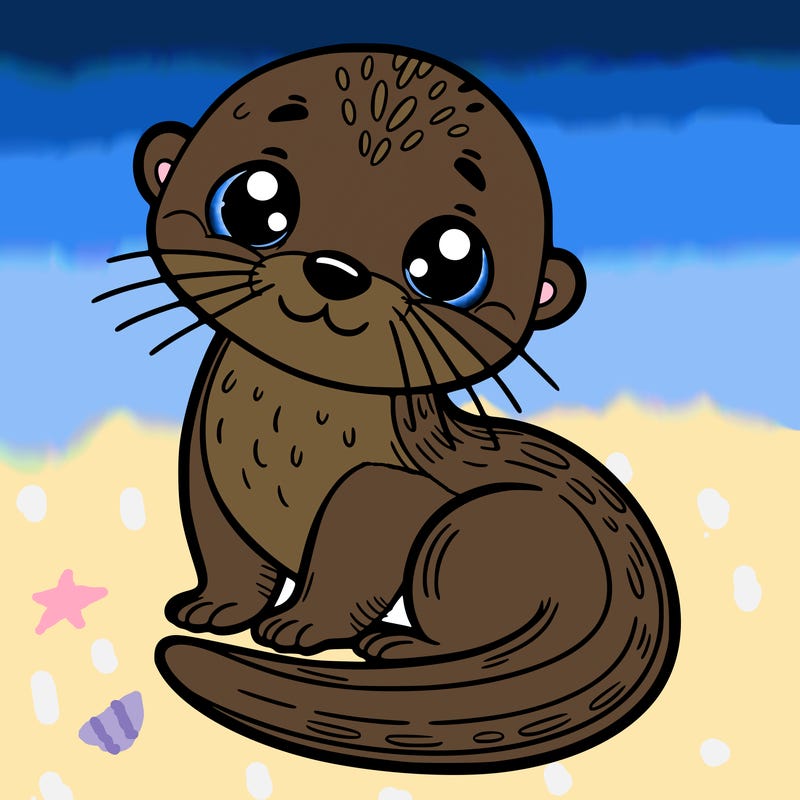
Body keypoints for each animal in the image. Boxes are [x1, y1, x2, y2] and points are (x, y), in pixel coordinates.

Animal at [102, 45, 680, 773]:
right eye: (254, 200)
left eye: (451, 261)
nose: (335, 270)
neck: (283, 436)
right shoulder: (206, 466)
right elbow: (226, 550)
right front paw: (213, 608)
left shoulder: (384, 489)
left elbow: (352, 562)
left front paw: (301, 626)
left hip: (472, 533)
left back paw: (403, 647)